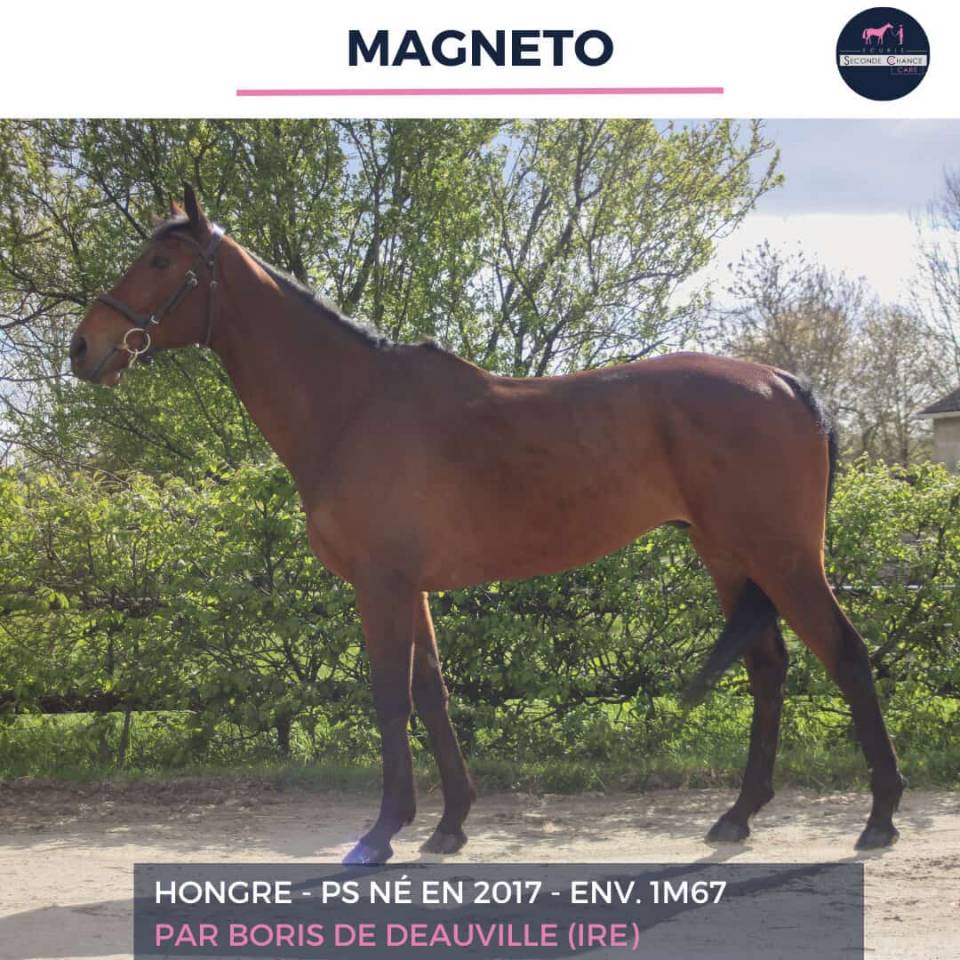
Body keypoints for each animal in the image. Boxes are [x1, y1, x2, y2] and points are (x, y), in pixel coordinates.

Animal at [68, 185, 903, 863]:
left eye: (157, 259)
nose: (84, 347)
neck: (355, 406)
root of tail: (785, 382)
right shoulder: (411, 588)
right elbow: (433, 693)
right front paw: (448, 825)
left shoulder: (381, 585)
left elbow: (391, 696)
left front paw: (382, 833)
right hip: (730, 556)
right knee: (768, 666)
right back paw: (738, 815)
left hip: (783, 557)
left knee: (846, 655)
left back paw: (880, 817)